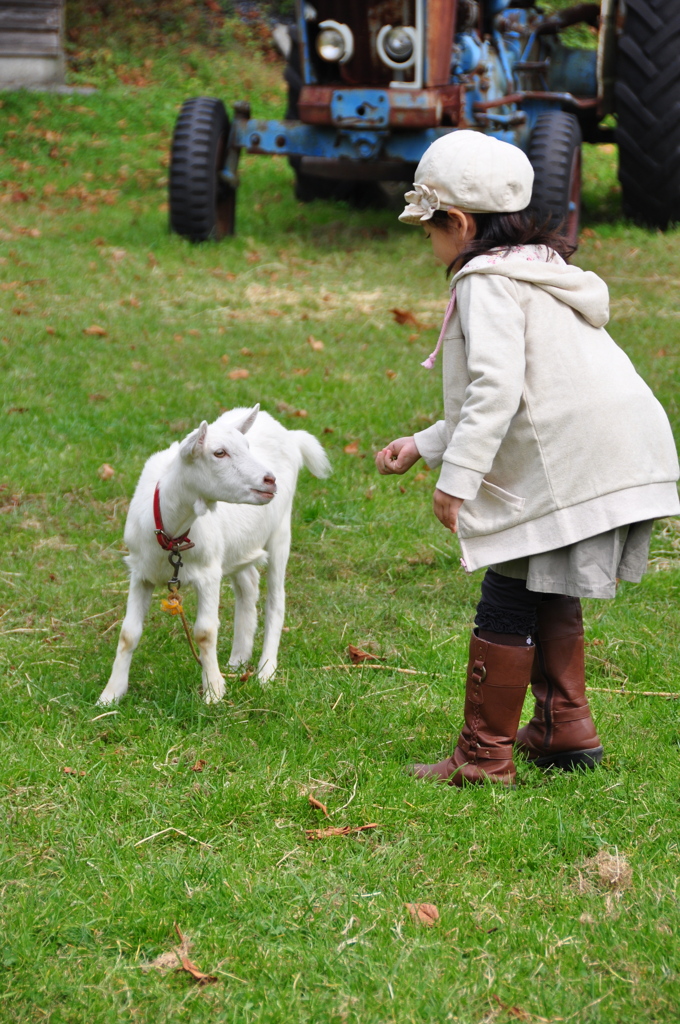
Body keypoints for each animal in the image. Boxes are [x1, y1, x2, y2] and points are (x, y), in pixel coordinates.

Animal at [96, 405, 329, 704]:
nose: (269, 479)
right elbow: (128, 633)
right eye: (219, 453)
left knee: (276, 600)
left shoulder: (208, 573)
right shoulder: (140, 572)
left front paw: (214, 692)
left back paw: (265, 671)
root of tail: (289, 433)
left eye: (247, 446)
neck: (173, 533)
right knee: (248, 585)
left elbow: (205, 632)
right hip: (236, 547)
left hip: (280, 531)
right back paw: (237, 661)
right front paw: (110, 695)